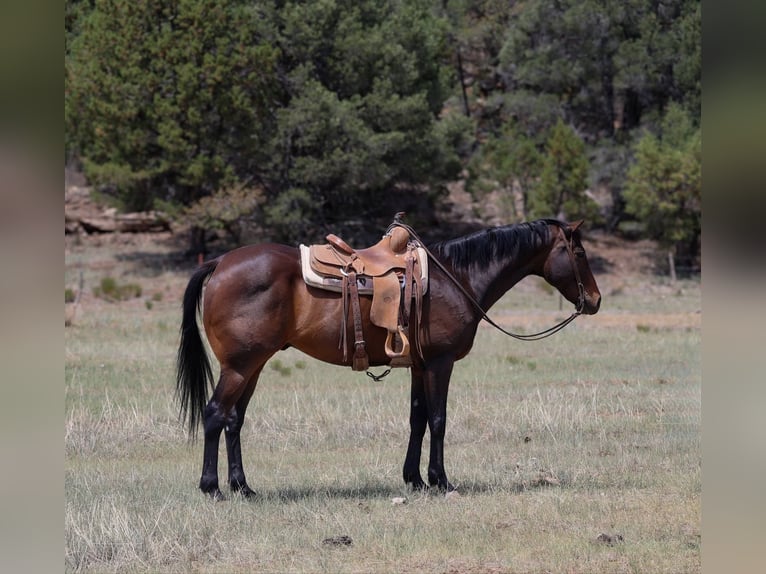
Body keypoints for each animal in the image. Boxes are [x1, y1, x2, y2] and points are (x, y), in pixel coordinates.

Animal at [176, 219, 601, 499]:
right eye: (579, 252)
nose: (595, 300)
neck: (456, 277)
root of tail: (219, 263)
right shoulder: (441, 363)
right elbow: (438, 419)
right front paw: (441, 481)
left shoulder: (420, 365)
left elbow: (417, 418)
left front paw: (414, 479)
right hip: (239, 367)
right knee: (216, 414)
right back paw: (212, 488)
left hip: (254, 365)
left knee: (234, 420)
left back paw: (243, 487)